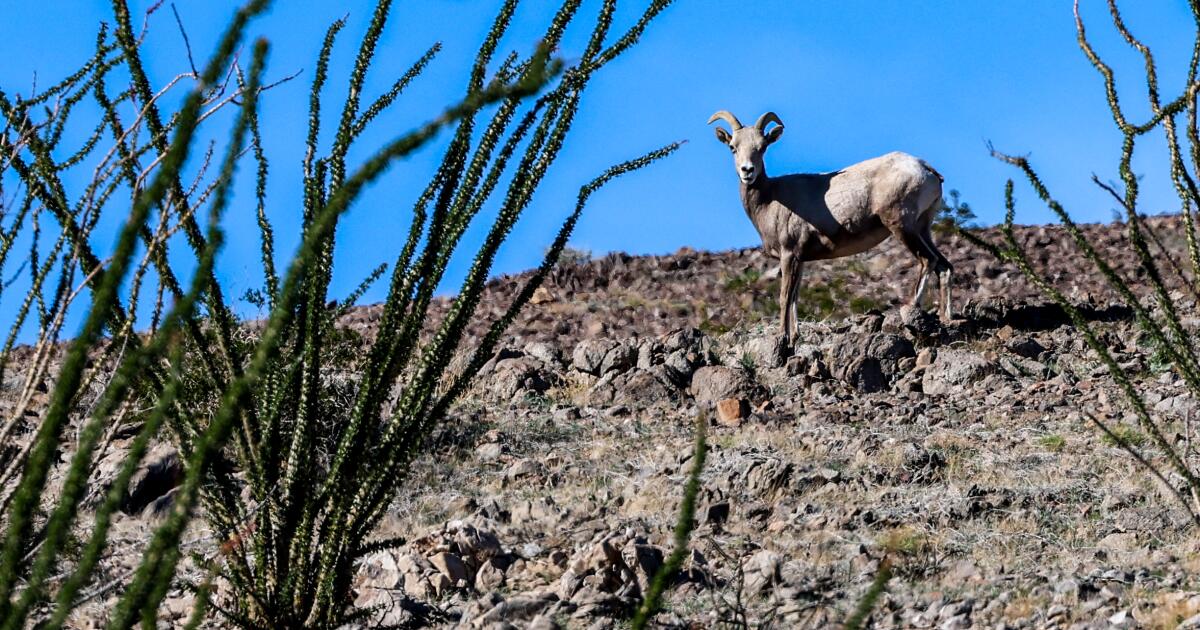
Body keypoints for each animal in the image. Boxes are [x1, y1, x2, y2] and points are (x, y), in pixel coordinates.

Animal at [708, 110, 953, 344]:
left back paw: (912, 309)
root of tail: (925, 169)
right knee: (944, 266)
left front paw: (783, 337)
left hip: (902, 226)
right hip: (922, 229)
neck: (770, 201)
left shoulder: (789, 255)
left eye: (762, 147)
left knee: (928, 260)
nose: (747, 171)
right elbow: (795, 297)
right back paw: (946, 318)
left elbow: (785, 297)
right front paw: (794, 338)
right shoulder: (800, 259)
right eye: (733, 147)